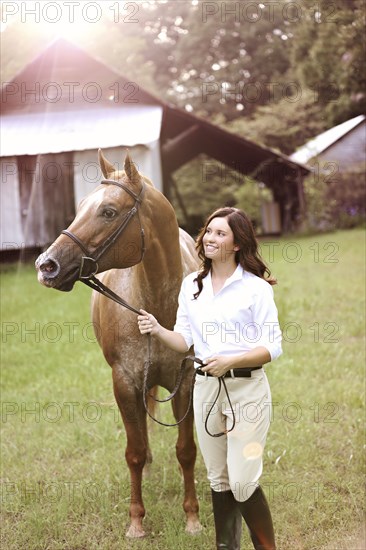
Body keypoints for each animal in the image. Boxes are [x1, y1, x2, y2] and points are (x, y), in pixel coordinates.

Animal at [34, 149, 202, 540]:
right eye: (80, 207)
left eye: (108, 211)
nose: (46, 266)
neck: (155, 303)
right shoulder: (124, 382)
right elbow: (134, 453)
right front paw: (136, 521)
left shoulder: (186, 380)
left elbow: (185, 450)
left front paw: (192, 517)